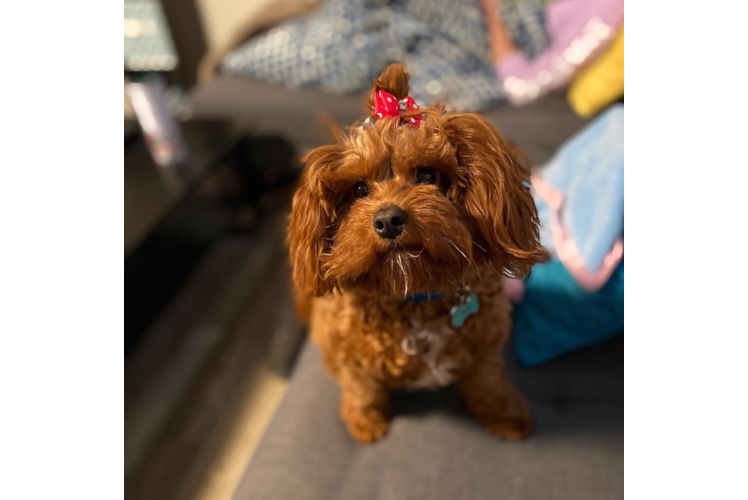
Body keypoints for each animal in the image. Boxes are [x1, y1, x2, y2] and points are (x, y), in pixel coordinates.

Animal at [290, 64, 548, 444]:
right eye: (359, 189)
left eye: (426, 174)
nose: (387, 220)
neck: (414, 295)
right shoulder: (350, 356)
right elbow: (362, 389)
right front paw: (366, 421)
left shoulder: (485, 349)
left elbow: (488, 382)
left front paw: (505, 415)